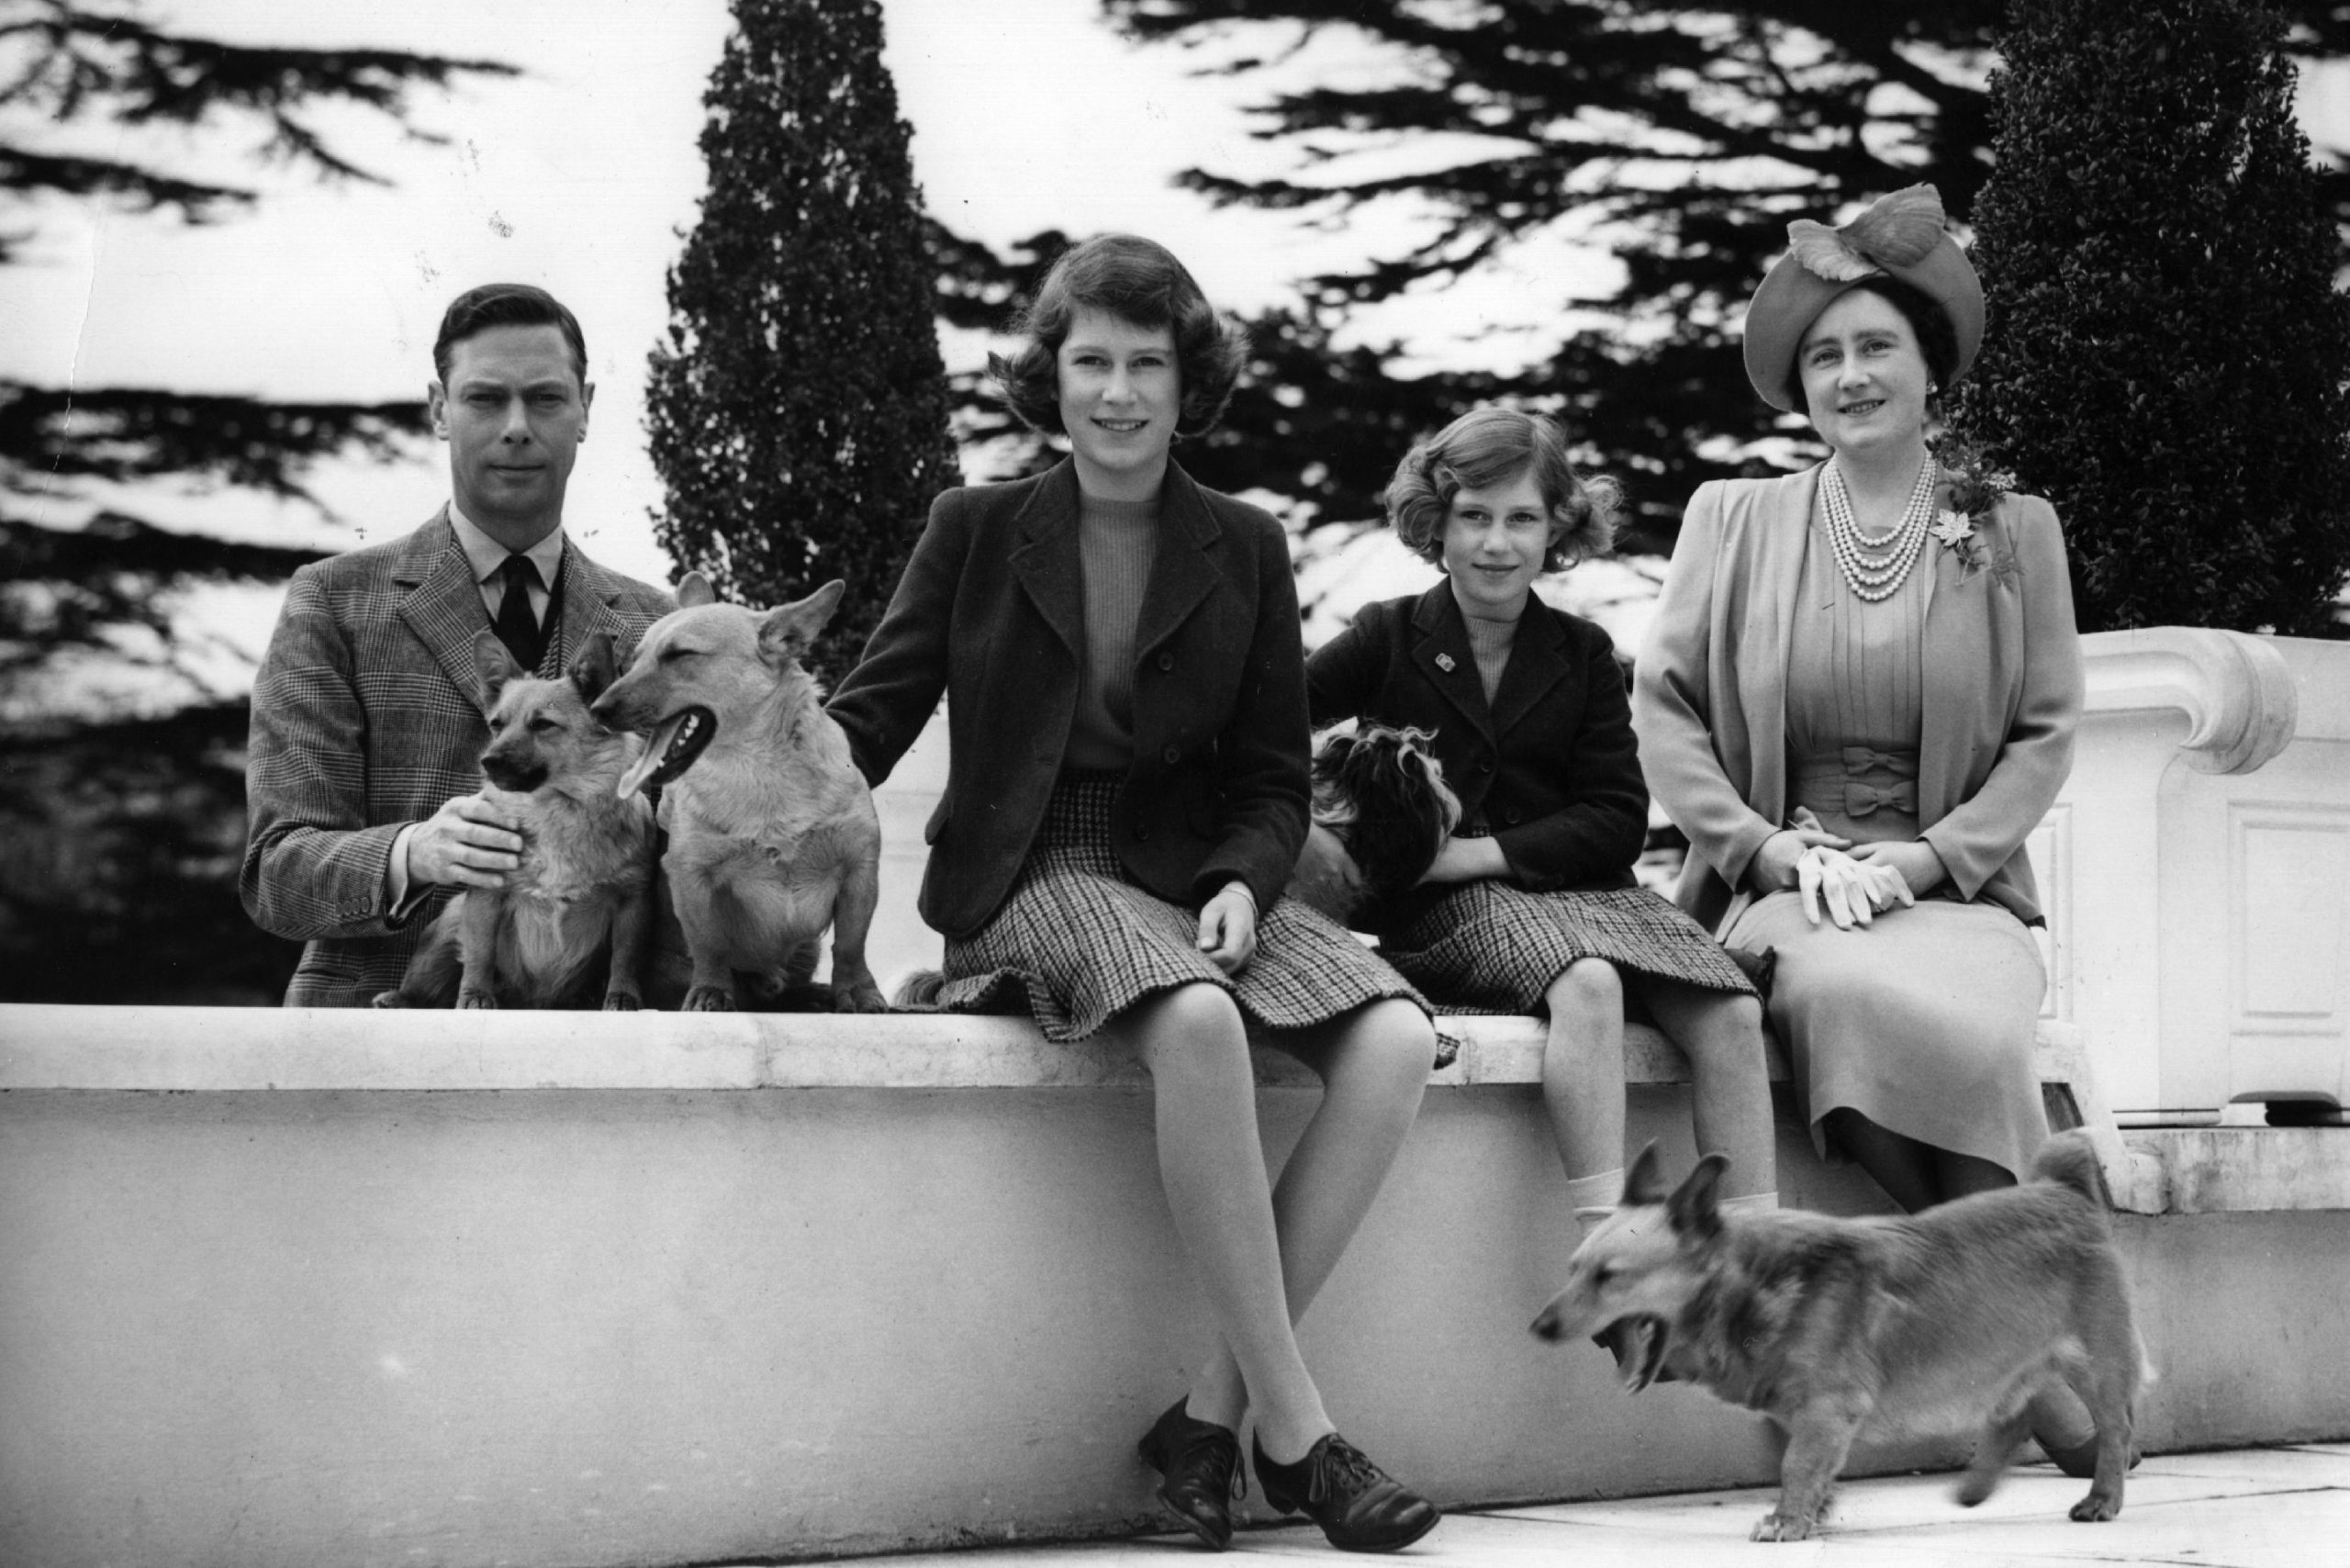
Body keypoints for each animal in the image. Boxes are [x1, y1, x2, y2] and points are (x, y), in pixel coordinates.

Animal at [1522, 1133, 2152, 1541]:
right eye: (1573, 1269)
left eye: (1609, 1277)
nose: (1538, 1327)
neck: (1749, 1283)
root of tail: (2064, 1189)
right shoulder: (1811, 1416)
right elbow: (1816, 1466)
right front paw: (1815, 1512)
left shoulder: (1828, 1408)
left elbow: (1797, 1464)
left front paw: (1788, 1520)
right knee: (2016, 1411)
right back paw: (1977, 1489)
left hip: (2094, 1367)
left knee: (2116, 1430)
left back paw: (2103, 1499)